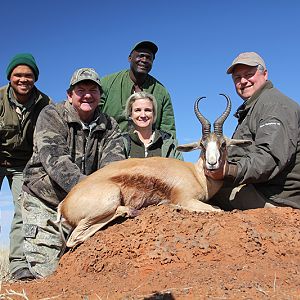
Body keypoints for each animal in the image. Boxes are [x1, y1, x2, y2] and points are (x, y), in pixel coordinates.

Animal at [56, 93, 251, 246]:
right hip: (109, 199)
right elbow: (217, 209)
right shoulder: (187, 199)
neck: (197, 175)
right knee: (75, 238)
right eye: (202, 145)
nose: (212, 163)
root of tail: (63, 205)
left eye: (223, 144)